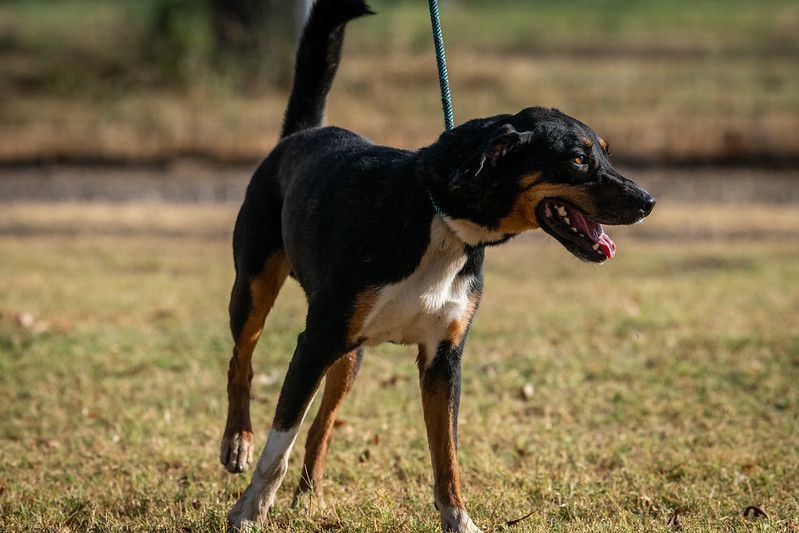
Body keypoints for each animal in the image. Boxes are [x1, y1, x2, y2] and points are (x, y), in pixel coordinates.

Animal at [222, 0, 655, 530]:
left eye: (606, 154)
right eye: (577, 159)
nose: (648, 201)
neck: (441, 220)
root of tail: (300, 134)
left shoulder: (443, 359)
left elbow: (446, 453)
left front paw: (459, 519)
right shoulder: (315, 342)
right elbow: (279, 441)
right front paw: (250, 509)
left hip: (350, 356)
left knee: (323, 424)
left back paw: (310, 496)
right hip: (255, 289)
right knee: (241, 362)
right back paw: (237, 442)